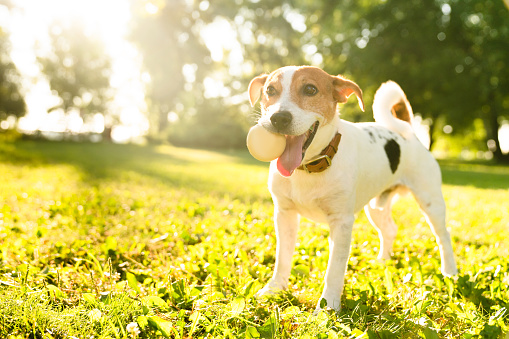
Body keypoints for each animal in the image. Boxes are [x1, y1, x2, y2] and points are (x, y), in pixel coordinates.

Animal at [248, 66, 458, 314]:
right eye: (270, 90)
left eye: (310, 89)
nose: (278, 118)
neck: (309, 167)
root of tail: (409, 134)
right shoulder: (284, 215)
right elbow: (283, 258)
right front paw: (274, 289)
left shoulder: (342, 222)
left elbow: (334, 270)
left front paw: (327, 307)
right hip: (376, 207)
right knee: (390, 230)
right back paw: (382, 262)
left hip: (430, 202)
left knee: (443, 237)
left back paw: (450, 272)